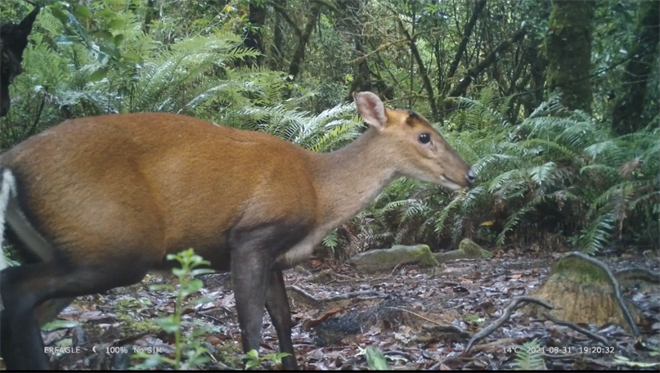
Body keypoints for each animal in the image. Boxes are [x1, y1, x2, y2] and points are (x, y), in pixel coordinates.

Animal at [0, 91, 474, 370]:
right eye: (425, 136)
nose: (469, 175)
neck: (318, 191)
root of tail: (11, 161)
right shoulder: (251, 236)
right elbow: (250, 325)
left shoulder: (277, 256)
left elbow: (283, 319)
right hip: (113, 242)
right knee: (16, 289)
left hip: (74, 246)